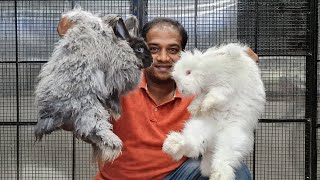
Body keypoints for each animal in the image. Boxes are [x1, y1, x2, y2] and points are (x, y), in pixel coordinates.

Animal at [33, 6, 152, 162]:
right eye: (140, 49)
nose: (151, 61)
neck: (122, 46)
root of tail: (49, 115)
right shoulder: (115, 75)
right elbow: (113, 94)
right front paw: (117, 111)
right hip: (88, 106)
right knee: (93, 128)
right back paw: (112, 144)